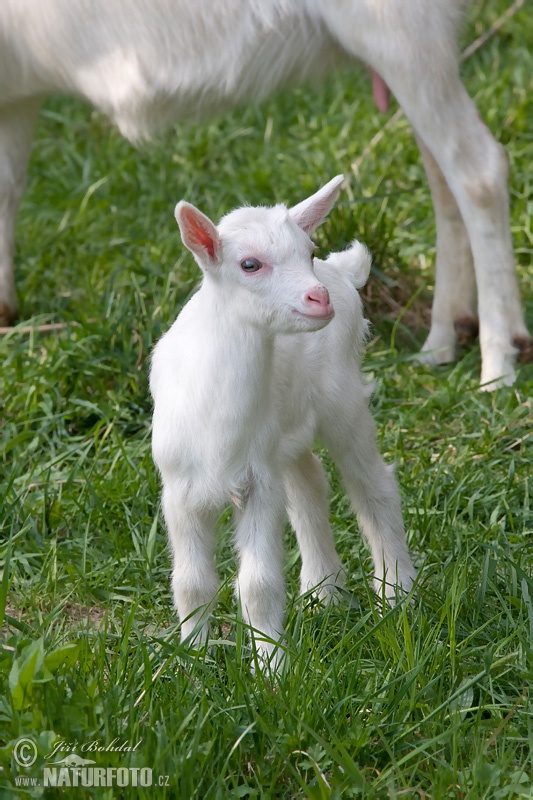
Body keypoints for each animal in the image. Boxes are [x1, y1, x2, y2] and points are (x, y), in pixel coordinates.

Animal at [0, 0, 528, 388]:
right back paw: (443, 339)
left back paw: (499, 359)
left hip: (398, 26)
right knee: (442, 177)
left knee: (478, 169)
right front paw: (6, 311)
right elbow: (8, 185)